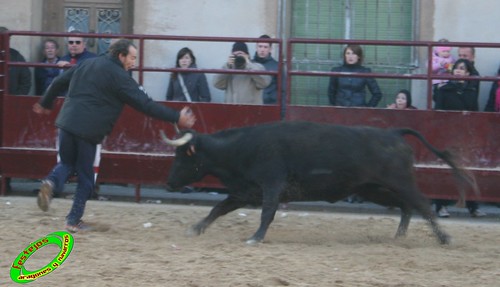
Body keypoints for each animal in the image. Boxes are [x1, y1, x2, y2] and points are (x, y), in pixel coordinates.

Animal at [162, 121, 478, 245]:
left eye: (183, 157)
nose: (168, 183)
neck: (240, 149)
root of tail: (394, 134)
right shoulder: (244, 192)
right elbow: (218, 209)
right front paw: (196, 229)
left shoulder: (272, 185)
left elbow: (267, 213)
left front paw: (256, 237)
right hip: (372, 189)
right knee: (405, 206)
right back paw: (399, 236)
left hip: (400, 181)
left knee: (422, 204)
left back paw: (444, 238)